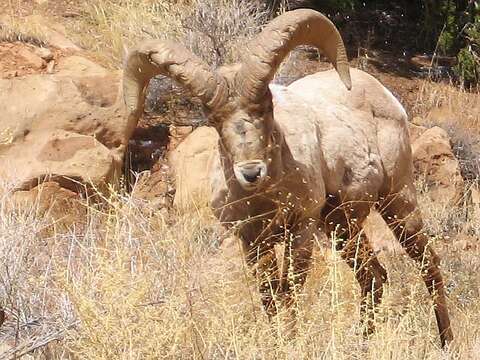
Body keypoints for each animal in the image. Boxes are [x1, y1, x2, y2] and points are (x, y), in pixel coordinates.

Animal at [124, 8, 454, 346]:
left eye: (267, 106)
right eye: (214, 120)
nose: (251, 172)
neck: (266, 199)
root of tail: (389, 99)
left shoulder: (302, 228)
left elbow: (289, 292)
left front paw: (292, 341)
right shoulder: (252, 240)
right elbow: (269, 296)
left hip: (397, 201)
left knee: (427, 263)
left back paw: (446, 342)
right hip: (341, 226)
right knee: (374, 276)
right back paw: (361, 341)